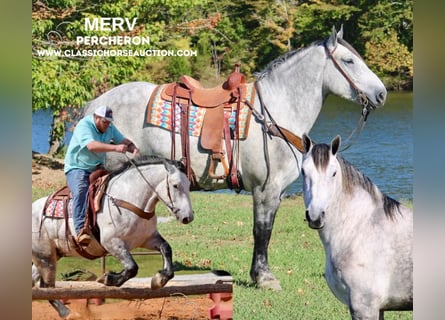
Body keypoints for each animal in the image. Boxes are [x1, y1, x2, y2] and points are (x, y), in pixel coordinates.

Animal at [32, 156, 194, 318]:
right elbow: (132, 267)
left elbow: (166, 248)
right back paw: (69, 313)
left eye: (189, 185)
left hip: (50, 256)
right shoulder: (112, 243)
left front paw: (160, 278)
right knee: (47, 287)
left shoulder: (147, 239)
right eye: (175, 185)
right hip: (46, 257)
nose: (188, 217)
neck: (127, 199)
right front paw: (109, 278)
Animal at [82, 25, 386, 290]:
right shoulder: (266, 189)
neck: (275, 111)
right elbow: (263, 230)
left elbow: (263, 230)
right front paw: (264, 278)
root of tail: (96, 104)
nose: (381, 94)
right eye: (349, 61)